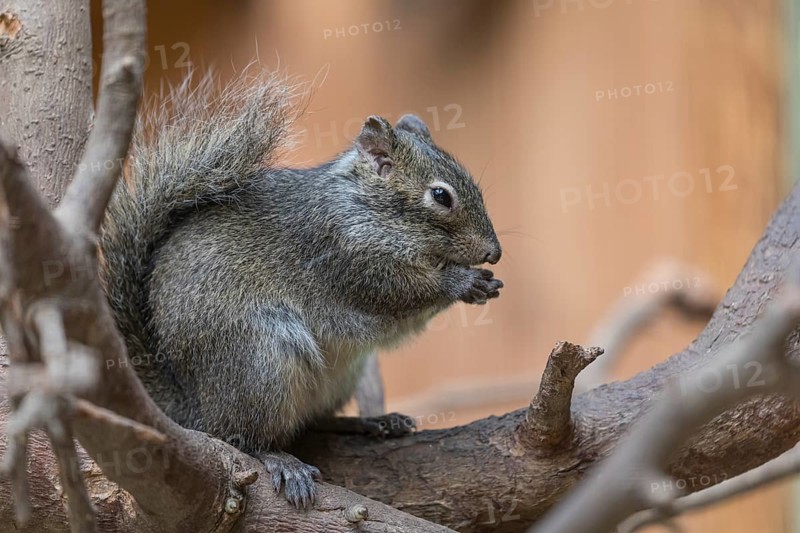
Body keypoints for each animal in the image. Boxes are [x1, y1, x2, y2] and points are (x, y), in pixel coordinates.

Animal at [99, 72, 503, 509]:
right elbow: (401, 291)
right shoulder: (345, 256)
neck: (364, 207)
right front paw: (464, 282)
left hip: (337, 375)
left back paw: (369, 422)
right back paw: (282, 460)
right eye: (441, 196)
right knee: (243, 437)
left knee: (313, 421)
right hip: (259, 362)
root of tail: (193, 409)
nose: (494, 252)